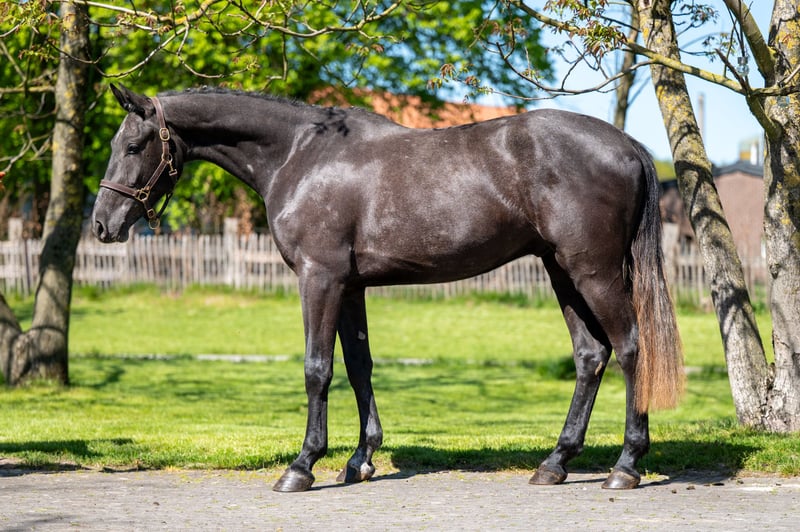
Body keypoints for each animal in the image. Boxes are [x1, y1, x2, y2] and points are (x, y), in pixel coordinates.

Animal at [92, 84, 684, 492]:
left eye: (134, 144)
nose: (102, 224)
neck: (299, 155)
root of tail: (627, 144)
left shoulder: (319, 277)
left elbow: (317, 369)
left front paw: (302, 466)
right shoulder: (350, 286)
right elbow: (359, 367)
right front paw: (361, 460)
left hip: (593, 272)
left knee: (630, 348)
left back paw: (626, 466)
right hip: (561, 271)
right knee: (590, 356)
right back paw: (555, 463)